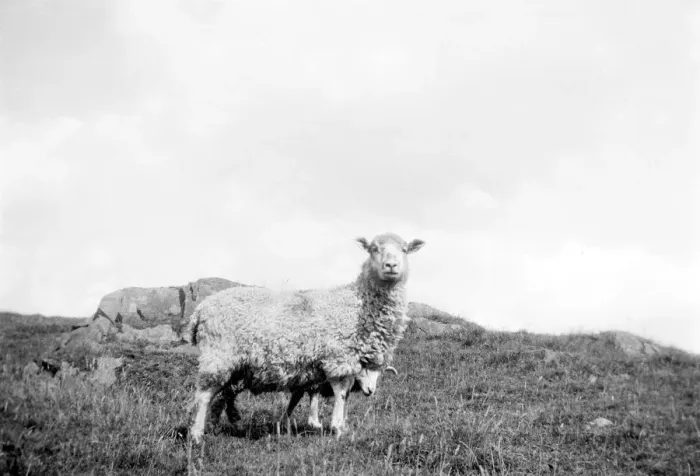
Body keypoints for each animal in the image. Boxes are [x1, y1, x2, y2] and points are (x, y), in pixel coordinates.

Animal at [186, 232, 425, 444]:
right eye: (374, 249)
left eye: (404, 250)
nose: (391, 265)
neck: (358, 303)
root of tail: (200, 310)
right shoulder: (339, 360)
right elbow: (341, 395)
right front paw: (337, 428)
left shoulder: (342, 365)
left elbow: (325, 396)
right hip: (218, 355)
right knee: (205, 394)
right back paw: (197, 435)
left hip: (234, 364)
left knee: (222, 394)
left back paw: (218, 426)